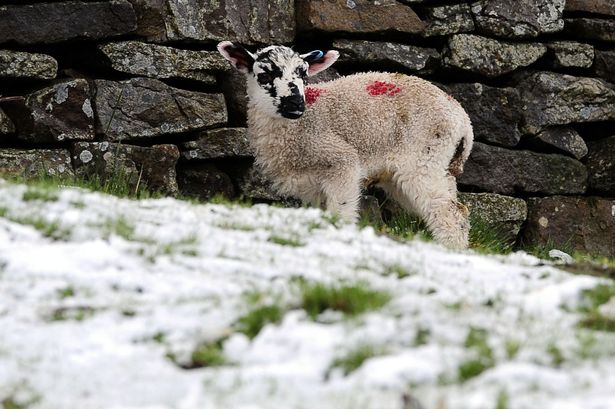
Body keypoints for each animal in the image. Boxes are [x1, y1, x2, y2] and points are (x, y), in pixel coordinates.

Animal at [219, 40, 474, 249]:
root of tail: (462, 120)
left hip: (423, 156)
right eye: (264, 76)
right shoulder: (311, 187)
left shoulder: (341, 163)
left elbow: (341, 213)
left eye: (304, 75)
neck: (299, 127)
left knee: (451, 213)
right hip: (433, 165)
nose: (295, 104)